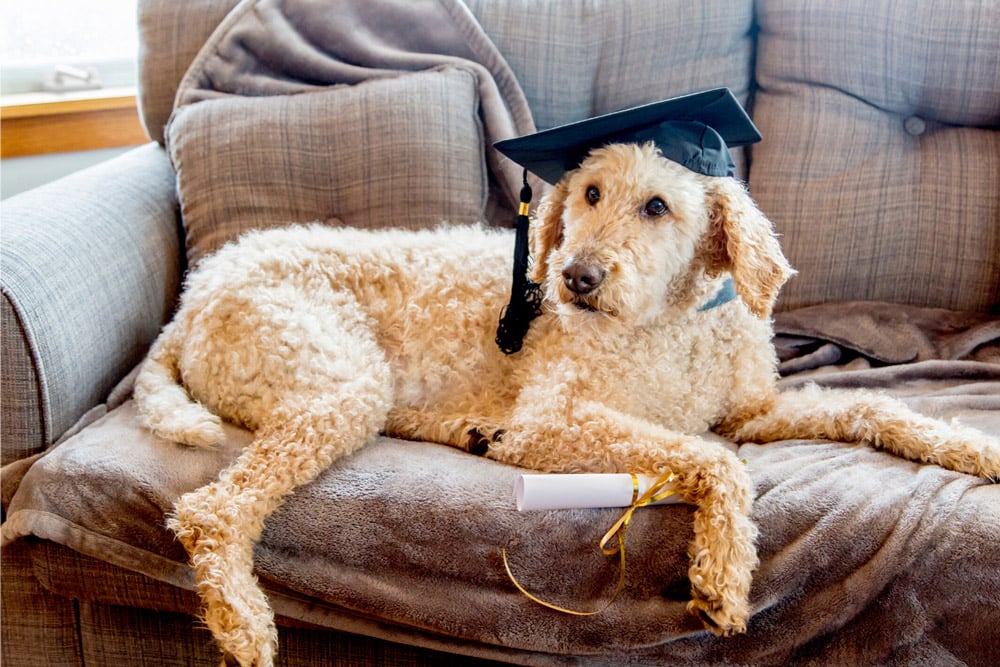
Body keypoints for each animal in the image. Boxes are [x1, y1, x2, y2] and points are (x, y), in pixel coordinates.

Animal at [135, 144, 1000, 667]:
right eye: (588, 192)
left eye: (657, 206)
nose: (576, 277)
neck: (673, 320)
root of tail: (195, 295)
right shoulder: (557, 420)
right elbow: (718, 463)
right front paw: (722, 572)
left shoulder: (748, 411)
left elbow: (872, 410)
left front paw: (978, 449)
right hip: (339, 382)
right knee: (213, 510)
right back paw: (243, 621)